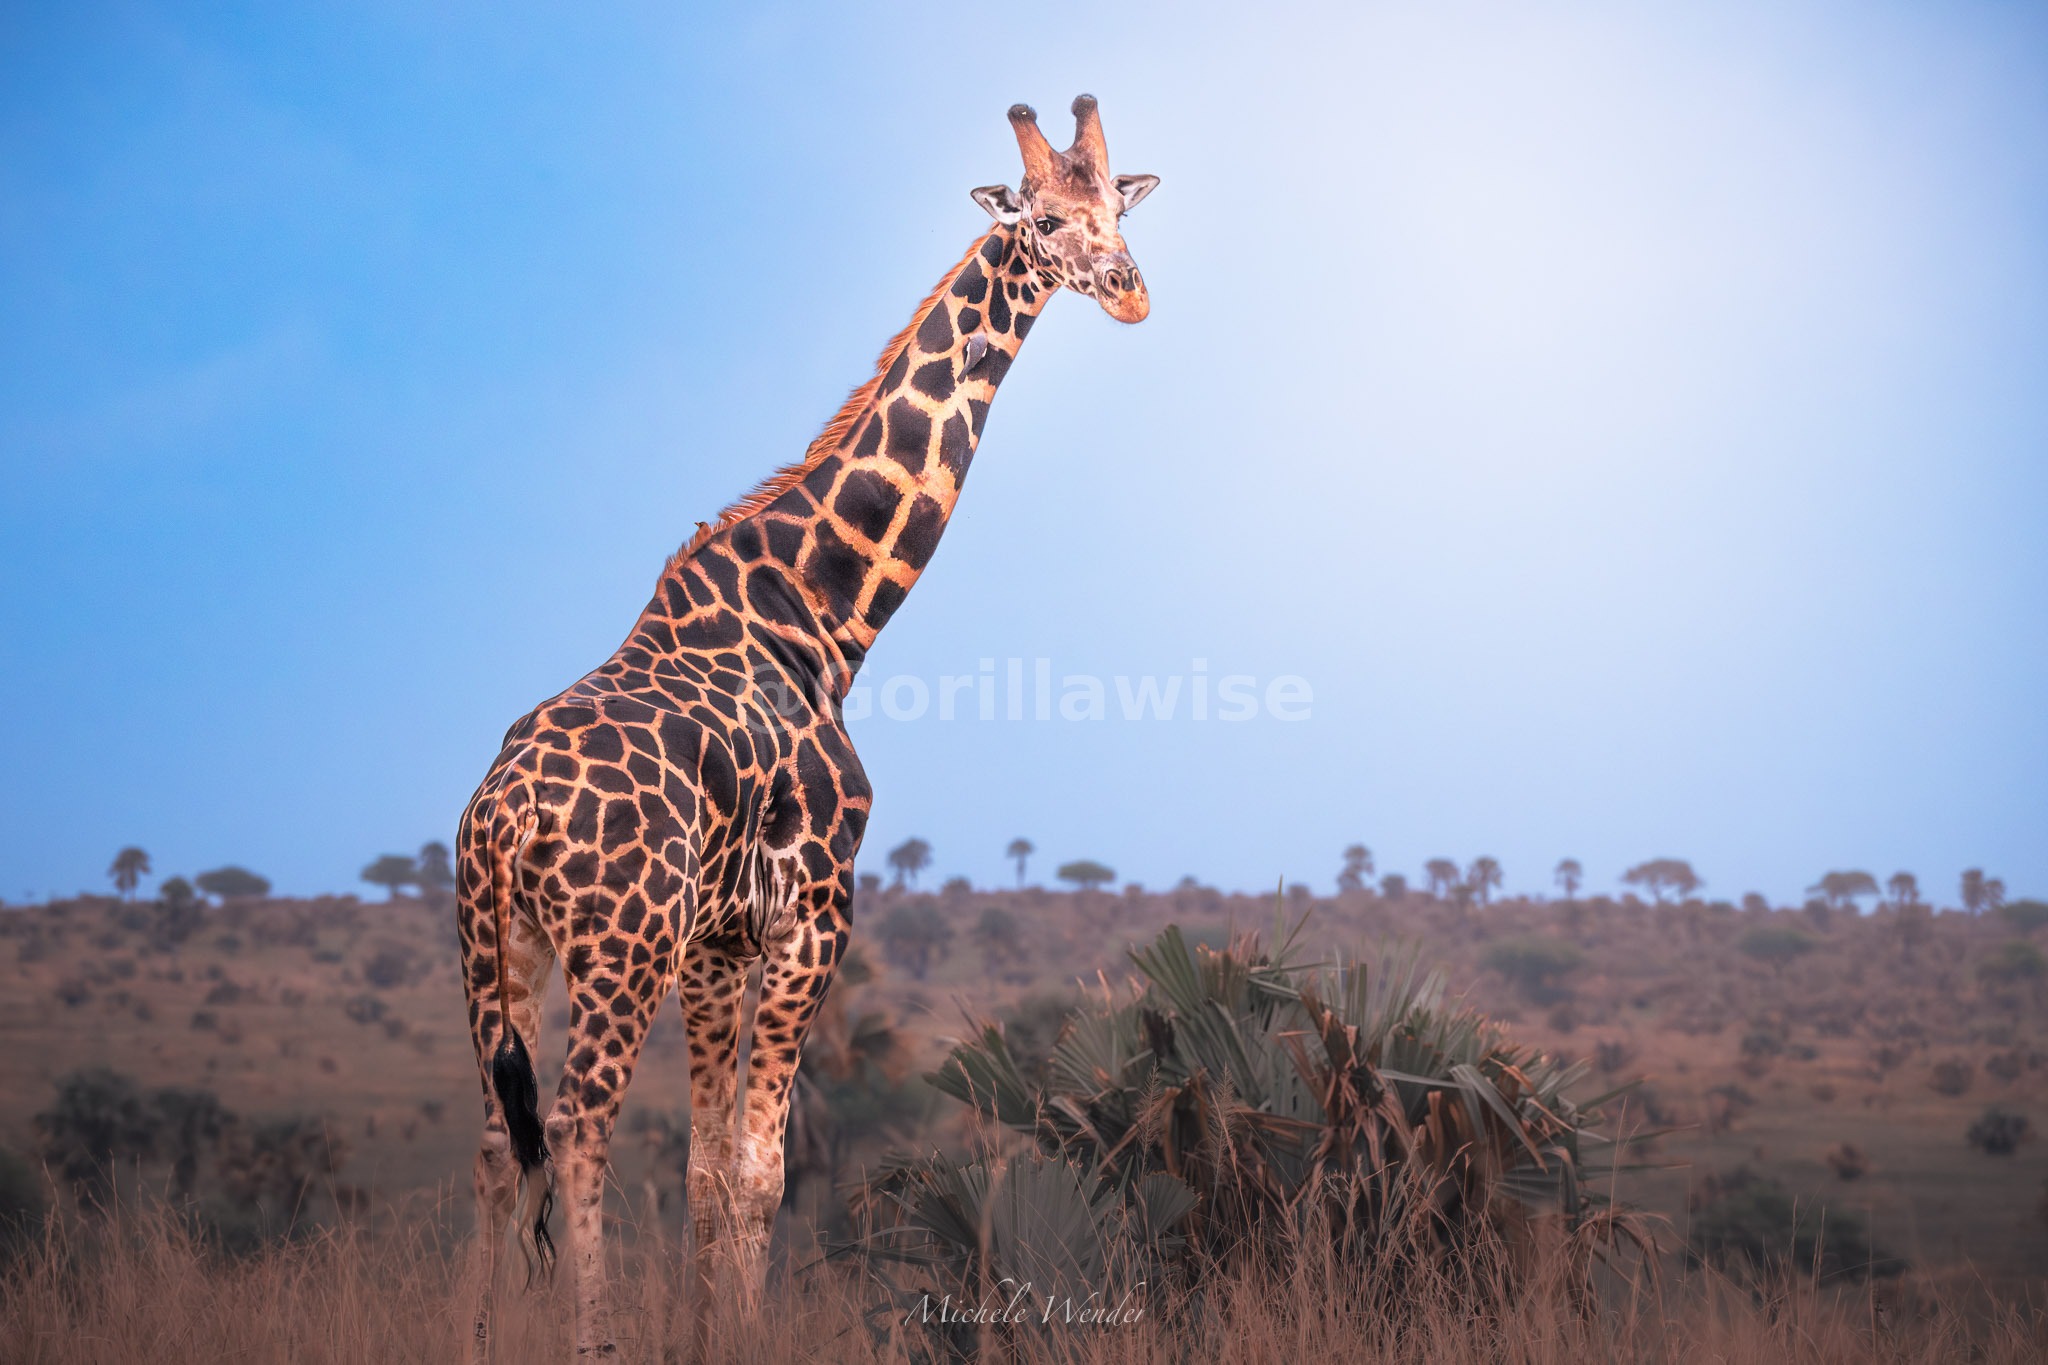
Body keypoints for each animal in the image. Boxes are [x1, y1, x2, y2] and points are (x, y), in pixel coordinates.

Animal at [455, 95, 1157, 1359]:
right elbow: (759, 1173)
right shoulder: (810, 919)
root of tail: (501, 816)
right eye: (1039, 217)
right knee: (576, 1124)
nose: (1128, 290)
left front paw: (704, 1339)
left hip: (502, 950)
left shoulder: (717, 945)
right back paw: (592, 1339)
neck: (824, 620)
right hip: (614, 949)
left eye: (1118, 210)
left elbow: (704, 1172)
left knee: (498, 1139)